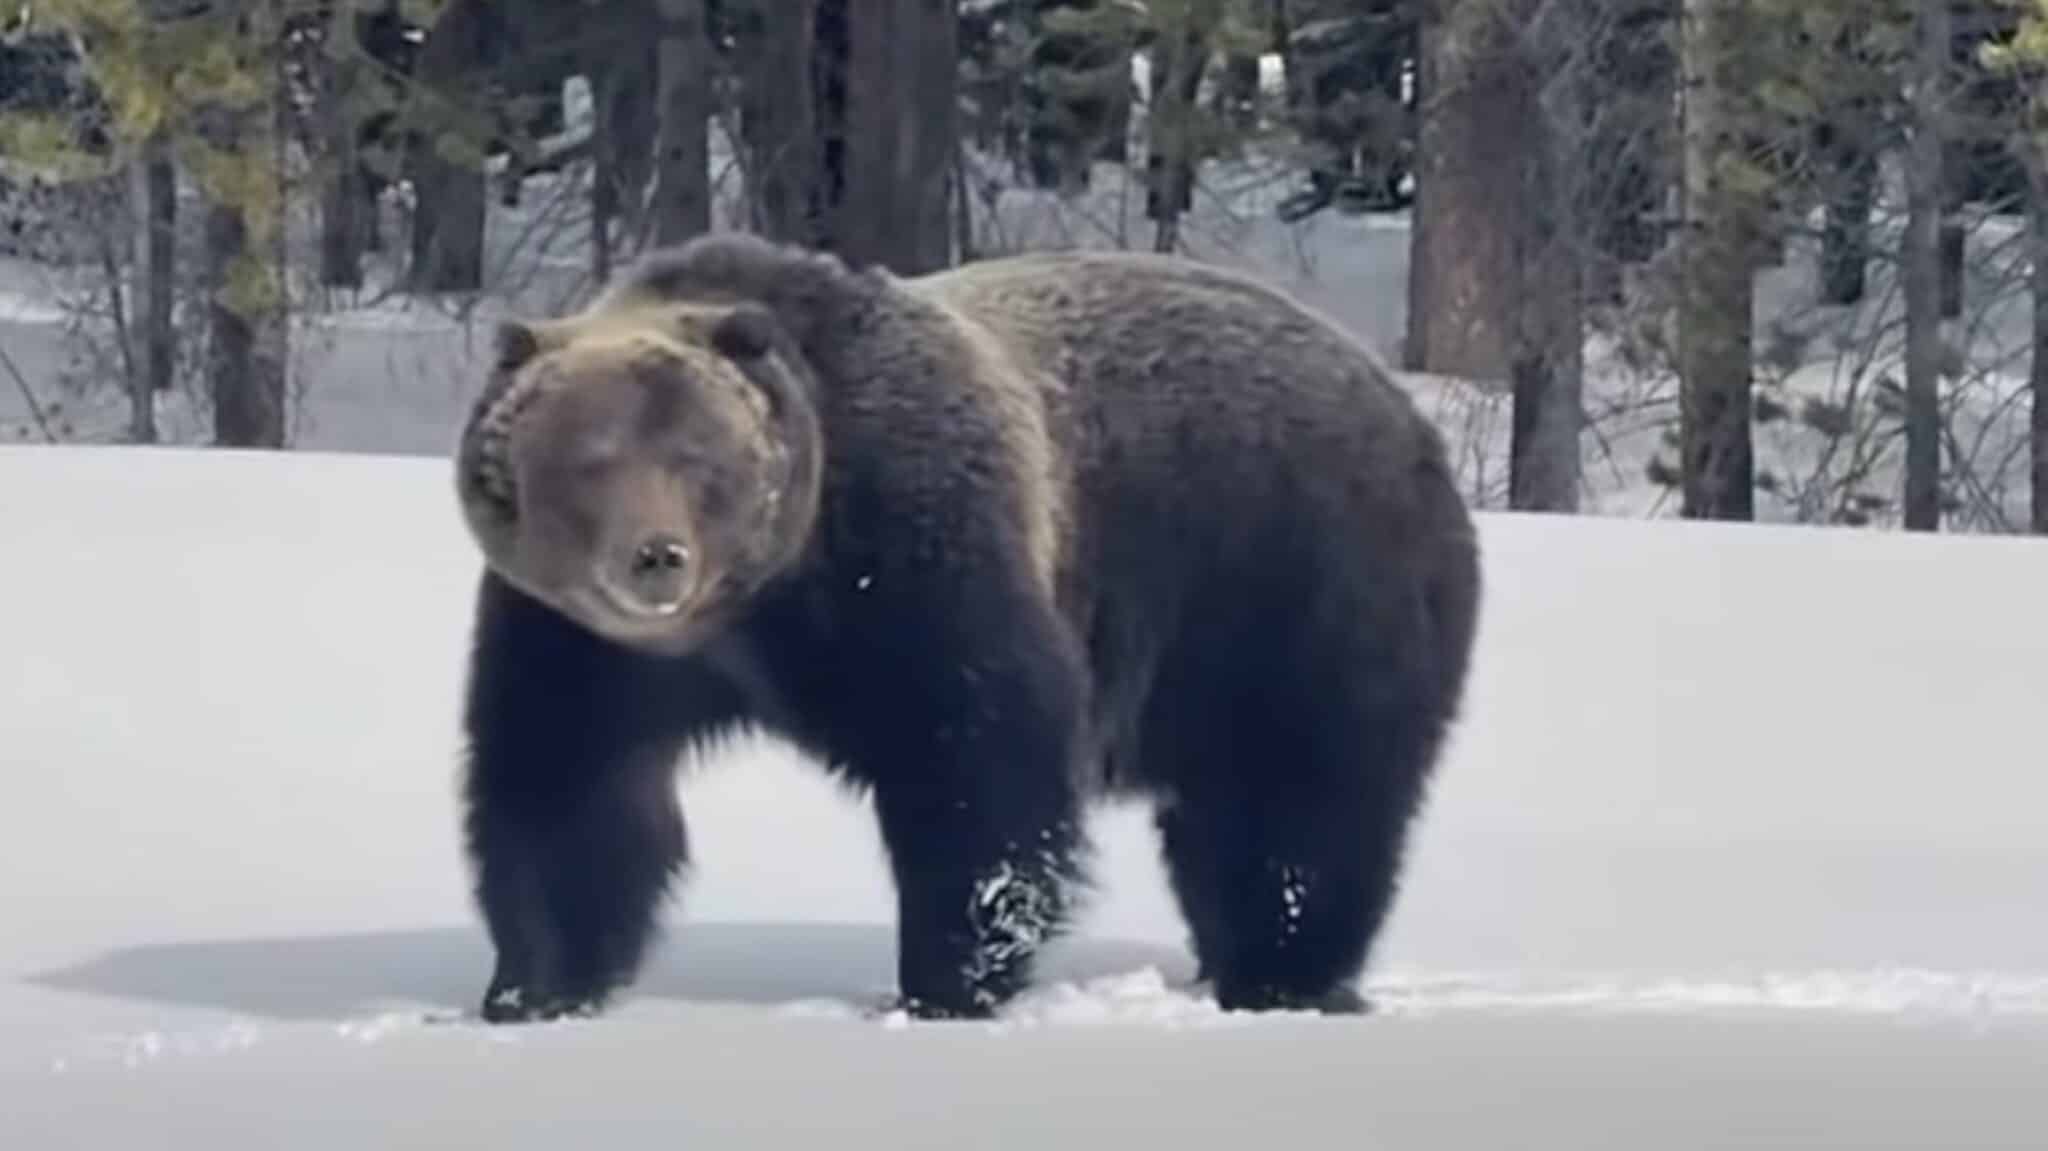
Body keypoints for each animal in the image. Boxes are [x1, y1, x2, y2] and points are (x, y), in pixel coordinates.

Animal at [450, 231, 1481, 1024]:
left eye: (701, 458)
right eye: (590, 459)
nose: (656, 556)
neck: (757, 605)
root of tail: (1401, 403)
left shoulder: (913, 557)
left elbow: (978, 763)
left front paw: (945, 982)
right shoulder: (576, 640)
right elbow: (563, 787)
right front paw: (530, 986)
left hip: (1297, 587)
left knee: (1302, 808)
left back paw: (1283, 974)